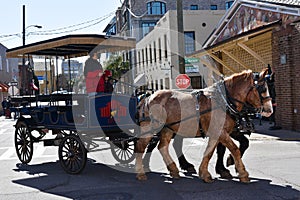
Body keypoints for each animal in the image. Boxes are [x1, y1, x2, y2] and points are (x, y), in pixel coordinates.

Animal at [135, 68, 272, 183]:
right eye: (263, 89)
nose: (269, 110)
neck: (224, 101)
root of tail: (148, 97)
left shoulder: (218, 133)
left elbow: (210, 152)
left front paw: (206, 173)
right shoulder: (220, 132)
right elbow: (235, 149)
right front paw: (242, 173)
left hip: (167, 129)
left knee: (162, 147)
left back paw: (173, 170)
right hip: (151, 128)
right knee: (141, 146)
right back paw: (141, 172)